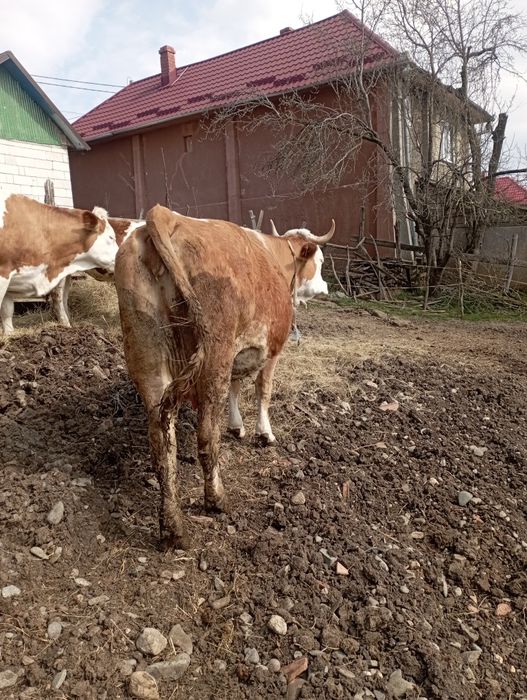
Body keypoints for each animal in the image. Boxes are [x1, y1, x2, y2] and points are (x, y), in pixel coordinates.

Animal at [114, 204, 334, 548]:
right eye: (321, 261)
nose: (325, 288)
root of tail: (165, 215)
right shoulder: (271, 349)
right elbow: (262, 390)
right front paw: (264, 433)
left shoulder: (237, 353)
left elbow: (236, 387)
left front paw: (236, 426)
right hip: (214, 353)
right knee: (206, 435)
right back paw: (216, 499)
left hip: (147, 354)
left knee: (162, 446)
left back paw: (173, 526)